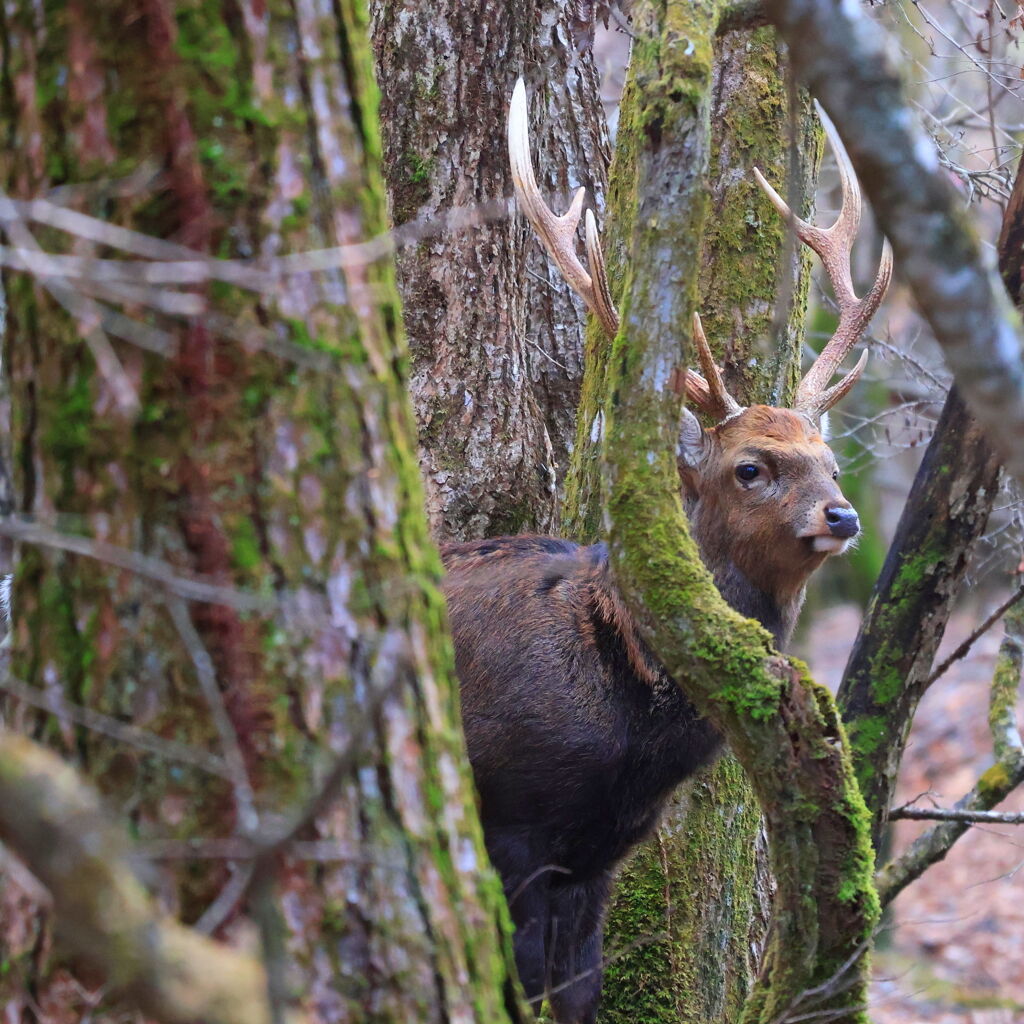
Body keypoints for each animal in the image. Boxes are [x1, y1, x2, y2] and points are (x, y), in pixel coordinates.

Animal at [444, 81, 892, 1024]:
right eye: (751, 467)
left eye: (831, 462)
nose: (842, 516)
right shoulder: (513, 819)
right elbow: (525, 987)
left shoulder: (602, 851)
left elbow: (579, 991)